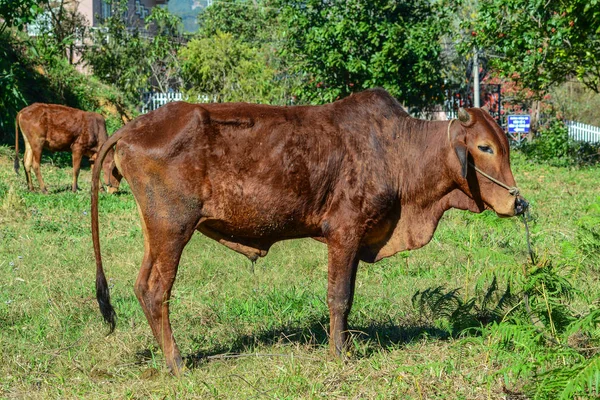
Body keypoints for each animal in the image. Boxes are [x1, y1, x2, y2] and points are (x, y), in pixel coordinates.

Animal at [91, 88, 528, 376]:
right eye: (485, 148)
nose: (518, 204)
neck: (396, 151)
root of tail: (133, 126)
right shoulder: (344, 231)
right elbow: (339, 297)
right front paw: (340, 353)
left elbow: (347, 299)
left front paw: (345, 345)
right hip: (173, 228)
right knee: (156, 291)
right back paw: (177, 362)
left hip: (156, 232)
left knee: (142, 286)